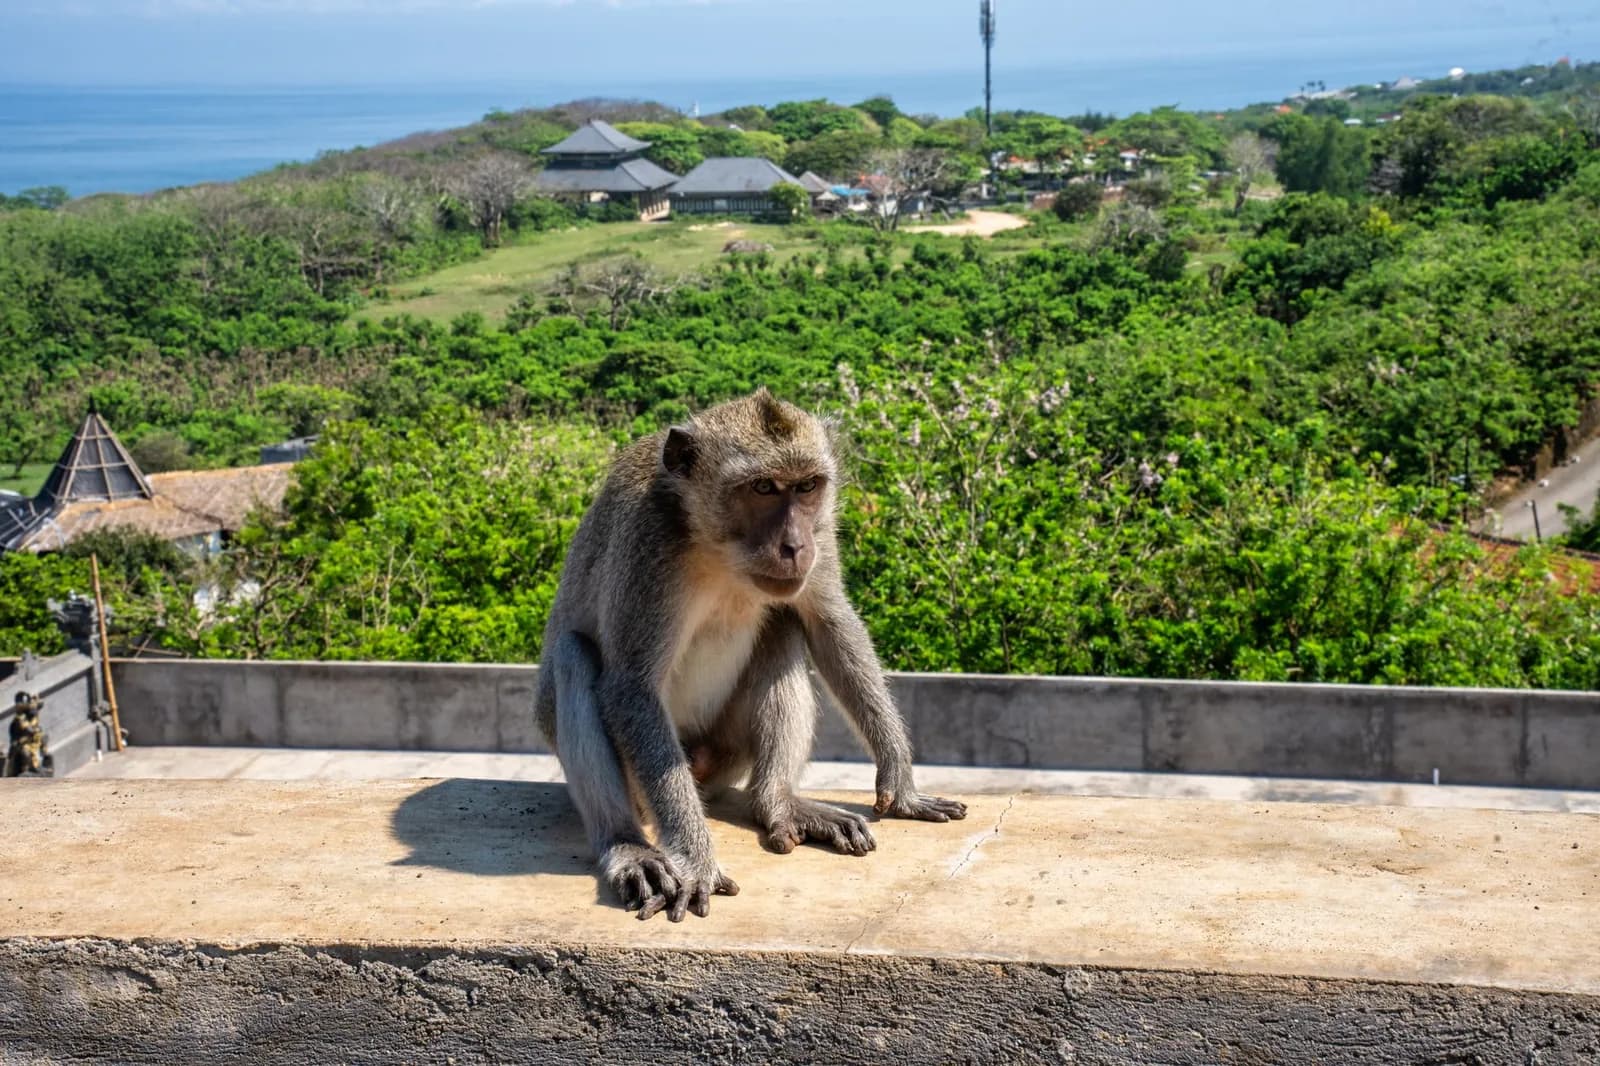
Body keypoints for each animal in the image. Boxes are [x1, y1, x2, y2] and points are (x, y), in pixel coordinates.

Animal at [535, 389, 967, 922]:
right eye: (762, 487)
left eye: (806, 487)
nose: (795, 545)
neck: (719, 551)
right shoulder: (648, 543)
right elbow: (631, 684)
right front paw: (695, 859)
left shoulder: (822, 533)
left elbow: (827, 623)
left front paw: (900, 782)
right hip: (646, 781)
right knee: (574, 655)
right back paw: (628, 847)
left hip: (727, 751)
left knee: (783, 625)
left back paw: (777, 802)